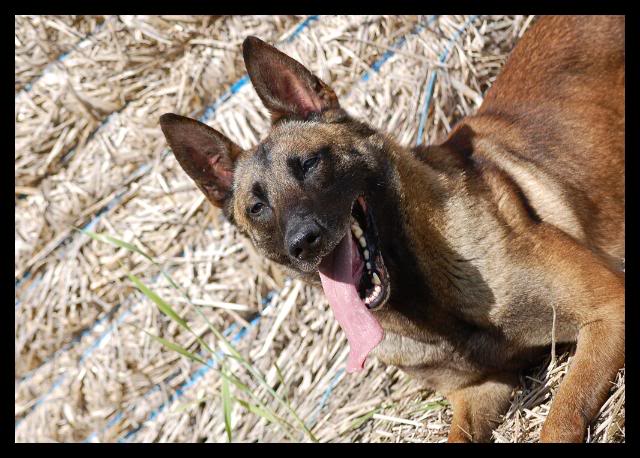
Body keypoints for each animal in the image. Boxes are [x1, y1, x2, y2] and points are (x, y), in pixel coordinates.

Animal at [160, 16, 624, 442]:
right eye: (257, 207)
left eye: (309, 164)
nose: (303, 243)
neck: (430, 302)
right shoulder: (479, 392)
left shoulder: (608, 312)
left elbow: (559, 419)